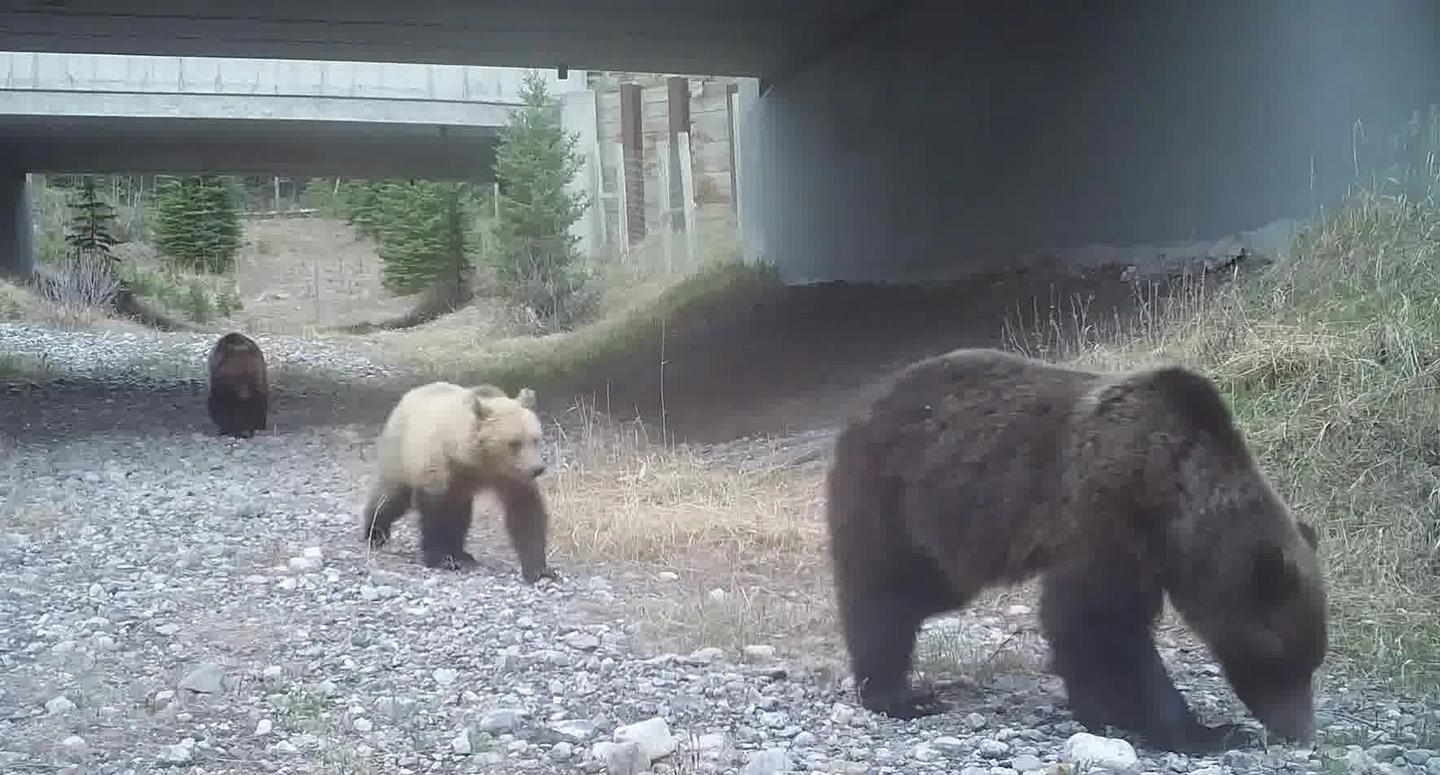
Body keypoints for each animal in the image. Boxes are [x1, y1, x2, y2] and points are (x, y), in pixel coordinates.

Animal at [360, 381, 559, 583]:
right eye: (514, 442)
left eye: (535, 439)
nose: (537, 468)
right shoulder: (439, 469)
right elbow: (434, 515)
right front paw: (440, 559)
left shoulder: (509, 477)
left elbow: (525, 512)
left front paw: (540, 569)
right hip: (400, 452)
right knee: (392, 495)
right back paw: (375, 533)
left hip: (459, 489)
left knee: (460, 515)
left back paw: (462, 553)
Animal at [824, 347, 1326, 754]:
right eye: (1284, 658)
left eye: (1315, 660)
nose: (1300, 731)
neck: (1174, 500)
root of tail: (862, 406)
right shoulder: (1106, 516)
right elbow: (1100, 624)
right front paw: (1205, 731)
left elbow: (1088, 630)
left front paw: (1102, 710)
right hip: (894, 496)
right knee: (884, 593)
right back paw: (897, 695)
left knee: (922, 595)